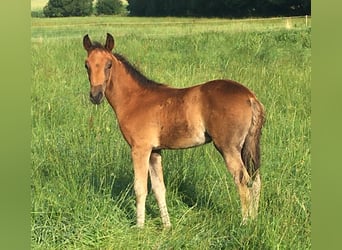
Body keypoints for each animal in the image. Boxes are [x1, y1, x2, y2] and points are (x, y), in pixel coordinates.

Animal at [82, 33, 264, 229]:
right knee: (256, 179)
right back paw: (255, 220)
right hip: (246, 146)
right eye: (87, 65)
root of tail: (250, 97)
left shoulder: (140, 149)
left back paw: (245, 222)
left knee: (243, 179)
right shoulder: (155, 151)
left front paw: (139, 228)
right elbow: (159, 188)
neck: (135, 99)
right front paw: (167, 226)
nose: (95, 96)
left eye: (109, 64)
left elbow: (140, 188)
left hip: (228, 148)